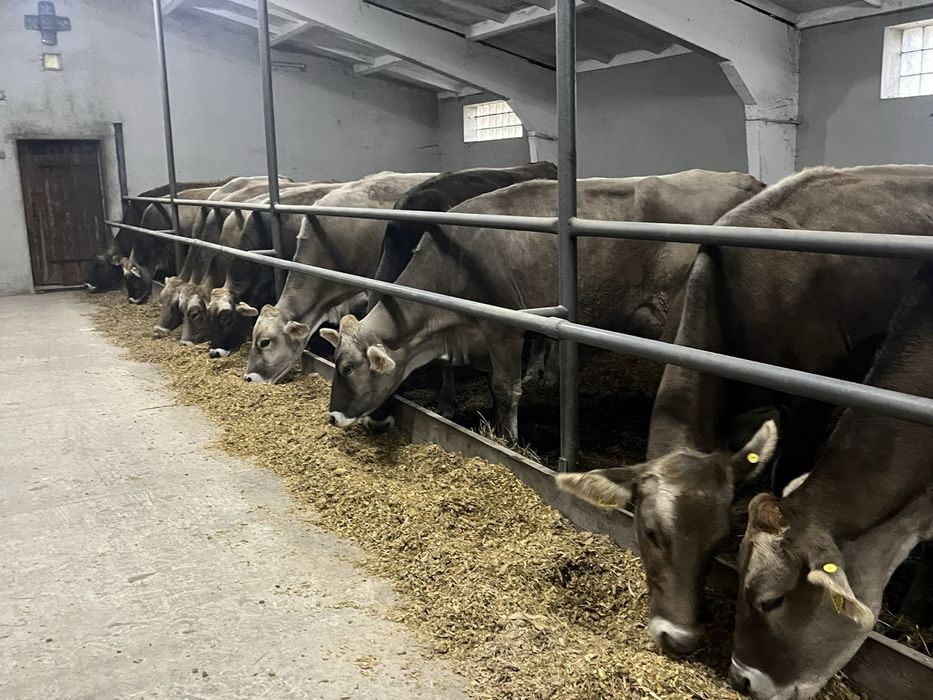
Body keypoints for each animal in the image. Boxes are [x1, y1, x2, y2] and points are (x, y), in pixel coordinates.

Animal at [321, 170, 764, 437]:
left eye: (347, 367)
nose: (333, 416)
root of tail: (745, 180)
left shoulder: (503, 326)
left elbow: (505, 388)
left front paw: (507, 439)